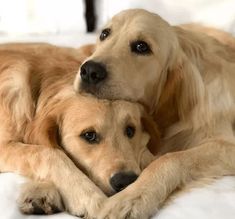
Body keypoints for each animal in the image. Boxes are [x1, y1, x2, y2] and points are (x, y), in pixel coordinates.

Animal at [74, 8, 235, 219]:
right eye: (104, 34)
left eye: (142, 46)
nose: (89, 71)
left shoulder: (226, 144)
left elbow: (169, 158)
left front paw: (132, 197)